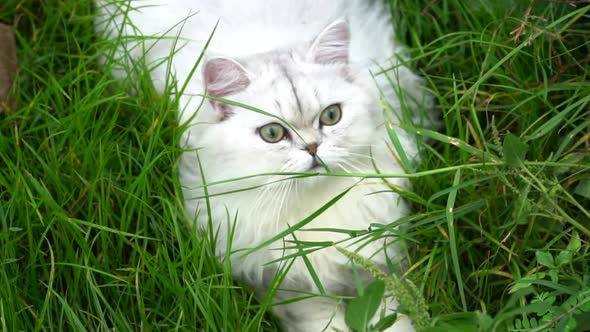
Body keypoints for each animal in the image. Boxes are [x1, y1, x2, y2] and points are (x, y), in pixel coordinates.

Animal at [95, 1, 432, 330]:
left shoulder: (382, 258)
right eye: (272, 134)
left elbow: (392, 312)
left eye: (331, 116)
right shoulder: (284, 285)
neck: (312, 210)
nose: (313, 147)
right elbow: (321, 320)